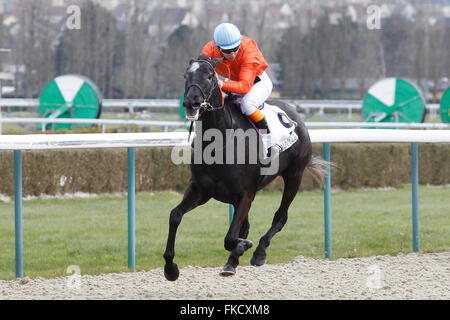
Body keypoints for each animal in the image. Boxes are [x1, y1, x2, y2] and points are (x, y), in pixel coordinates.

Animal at [163, 55, 326, 280]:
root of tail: (295, 115)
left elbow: (231, 237)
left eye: (210, 76)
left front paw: (243, 247)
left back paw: (258, 252)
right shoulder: (201, 190)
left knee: (280, 217)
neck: (220, 141)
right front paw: (170, 268)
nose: (190, 103)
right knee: (246, 226)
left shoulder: (246, 193)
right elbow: (175, 216)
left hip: (294, 175)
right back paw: (232, 262)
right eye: (186, 75)